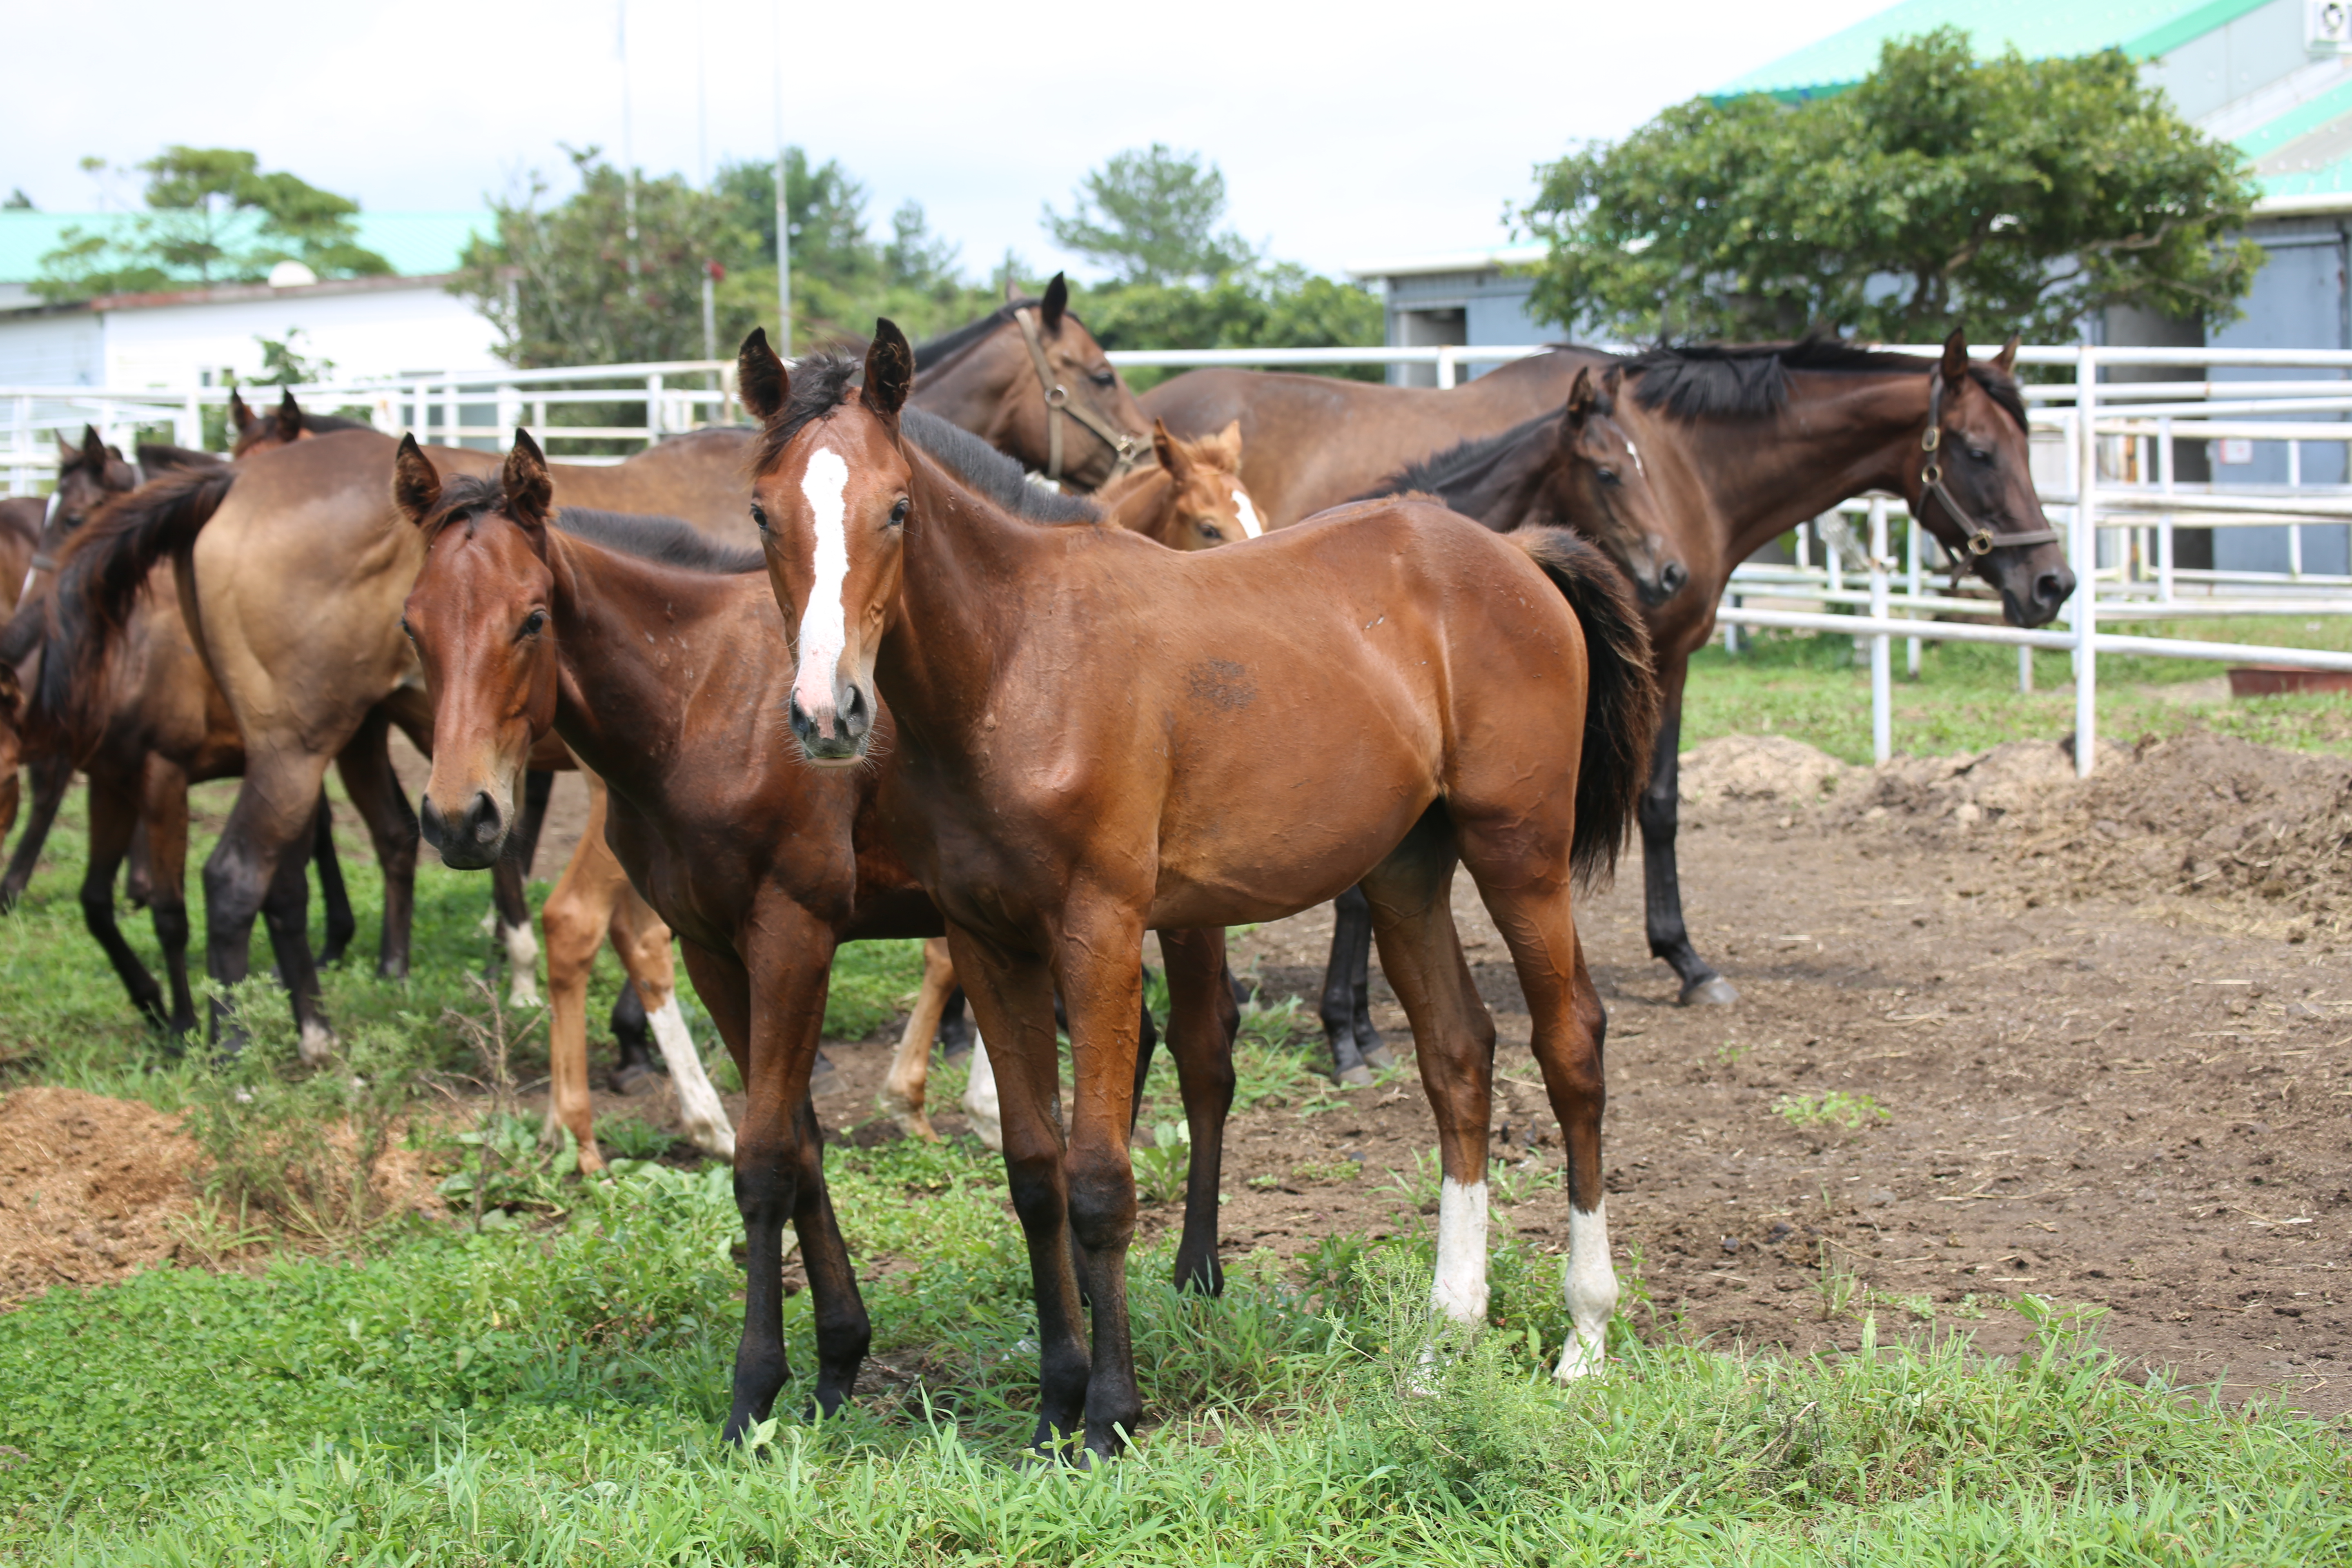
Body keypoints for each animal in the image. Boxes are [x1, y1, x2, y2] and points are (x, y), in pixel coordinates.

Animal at [388, 432, 1242, 1448]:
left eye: (532, 618)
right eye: (412, 627)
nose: (460, 818)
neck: (704, 692)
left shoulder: (792, 933)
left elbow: (763, 1163)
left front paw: (755, 1390)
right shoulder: (714, 948)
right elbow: (799, 1151)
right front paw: (838, 1360)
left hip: (1172, 911)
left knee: (1203, 1054)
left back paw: (1194, 1275)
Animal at [743, 324, 1665, 1467]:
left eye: (899, 506)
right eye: (761, 512)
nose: (826, 713)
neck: (1017, 659)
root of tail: (1517, 554)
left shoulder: (1098, 929)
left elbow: (1100, 1177)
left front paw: (1108, 1416)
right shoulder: (988, 937)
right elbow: (1034, 1171)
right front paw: (1053, 1404)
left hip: (1520, 853)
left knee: (1570, 1044)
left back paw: (1584, 1334)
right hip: (1406, 869)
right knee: (1458, 1057)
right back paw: (1441, 1343)